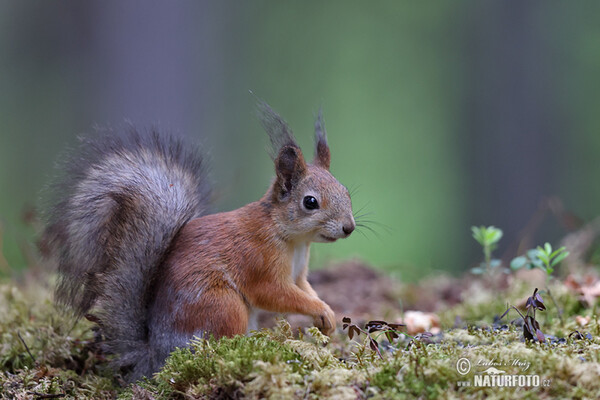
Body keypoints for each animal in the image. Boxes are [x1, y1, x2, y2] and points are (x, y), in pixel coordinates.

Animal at [45, 101, 356, 380]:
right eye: (310, 202)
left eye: (345, 191)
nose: (349, 227)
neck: (292, 240)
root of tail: (158, 356)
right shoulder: (258, 261)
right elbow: (275, 293)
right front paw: (320, 310)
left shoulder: (298, 273)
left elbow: (305, 288)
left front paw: (326, 315)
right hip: (222, 305)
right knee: (219, 346)